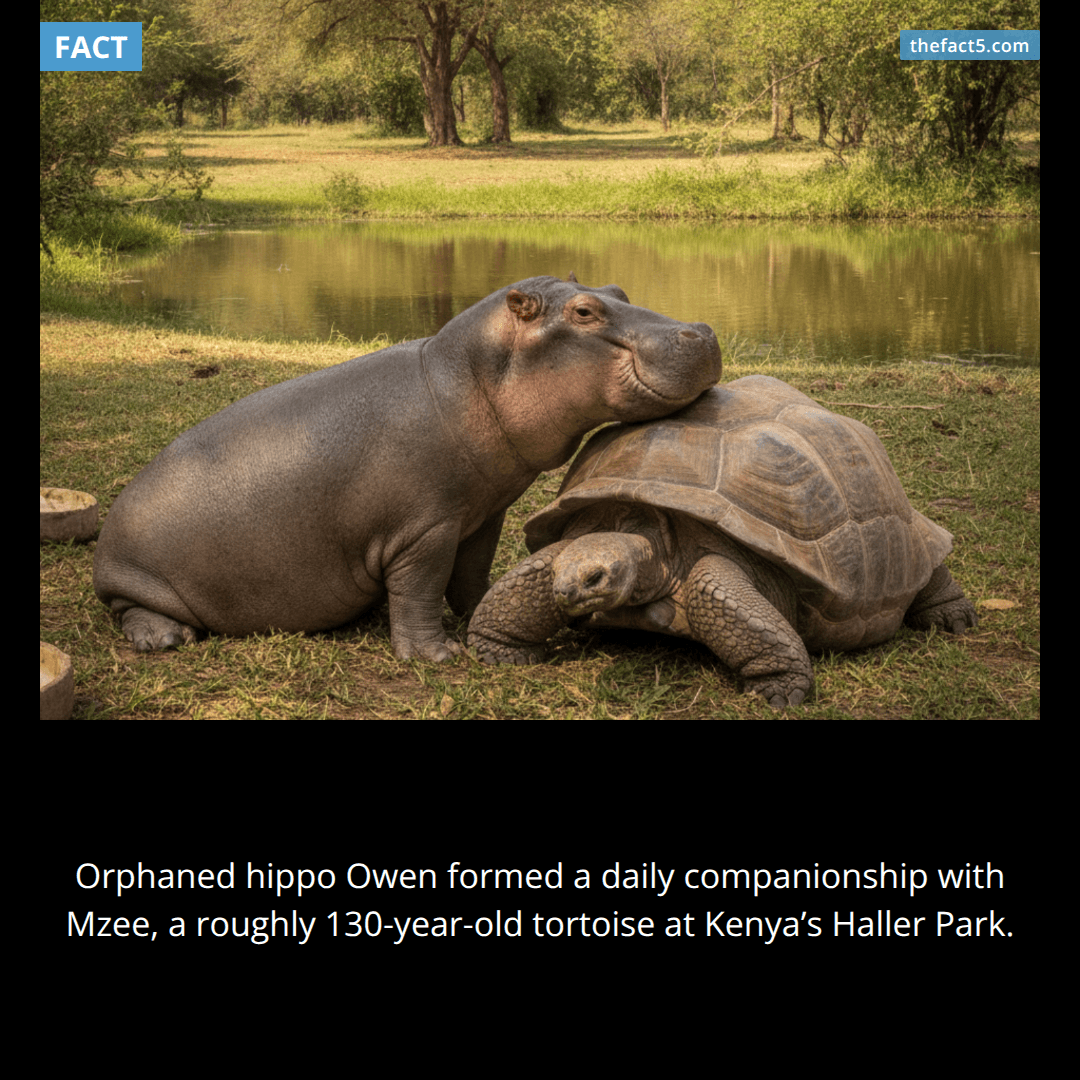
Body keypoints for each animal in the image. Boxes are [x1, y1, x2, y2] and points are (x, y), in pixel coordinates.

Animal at [93, 275, 722, 661]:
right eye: (585, 311)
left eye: (616, 288)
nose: (704, 330)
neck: (468, 378)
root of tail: (106, 540)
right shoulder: (425, 530)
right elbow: (421, 588)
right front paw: (438, 655)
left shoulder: (481, 515)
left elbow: (471, 576)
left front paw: (486, 609)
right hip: (132, 579)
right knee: (128, 608)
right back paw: (164, 638)